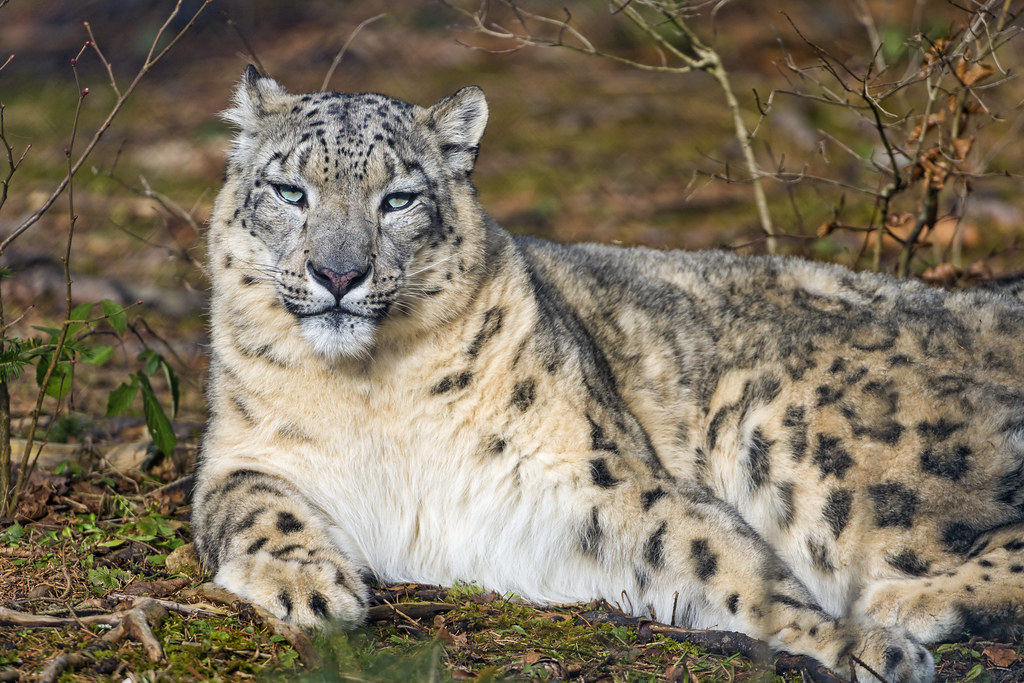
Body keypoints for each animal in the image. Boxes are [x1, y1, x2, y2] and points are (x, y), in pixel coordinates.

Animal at [192, 65, 1024, 682]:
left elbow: (726, 562)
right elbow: (252, 506)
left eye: (398, 198)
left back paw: (904, 602)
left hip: (815, 441)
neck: (373, 390)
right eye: (289, 191)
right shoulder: (241, 452)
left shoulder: (600, 476)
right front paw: (310, 584)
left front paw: (852, 644)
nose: (339, 273)